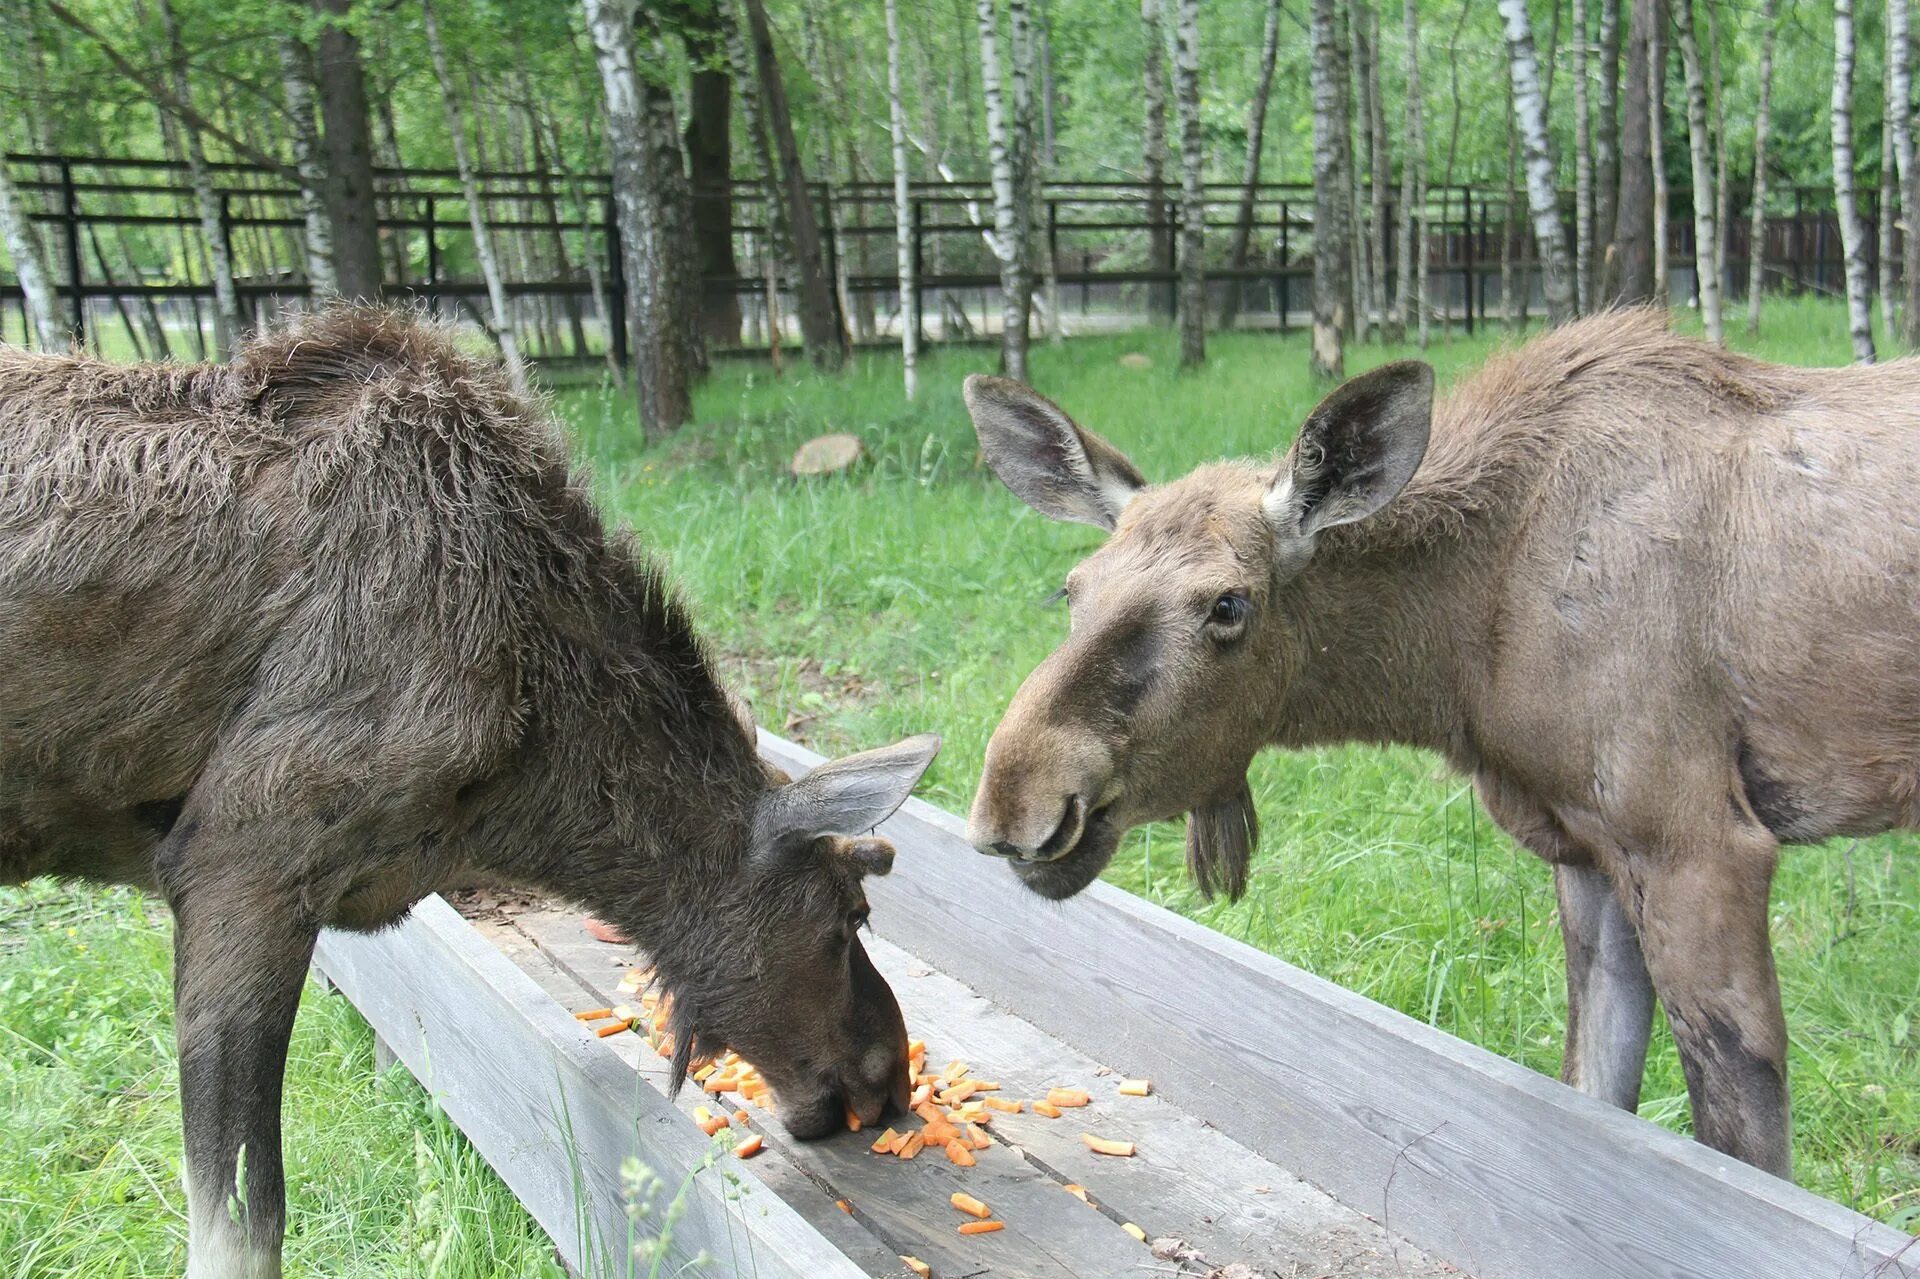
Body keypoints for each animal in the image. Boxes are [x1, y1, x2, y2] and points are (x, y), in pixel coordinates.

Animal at [967, 309, 1920, 1175]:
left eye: (1228, 604)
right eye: (1073, 587)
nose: (1019, 799)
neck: (1462, 662)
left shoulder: (1700, 842)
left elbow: (1749, 1152)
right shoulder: (1588, 848)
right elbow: (1596, 1083)